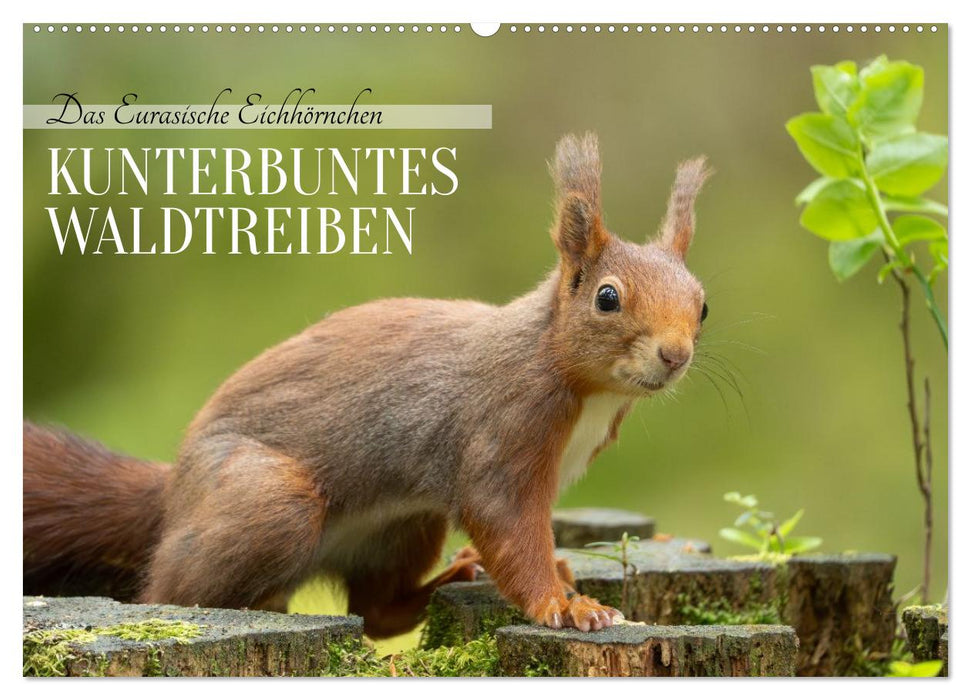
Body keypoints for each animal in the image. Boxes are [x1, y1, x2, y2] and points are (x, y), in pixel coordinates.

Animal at [24, 133, 711, 638]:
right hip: (266, 500)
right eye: (607, 298)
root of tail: (174, 494)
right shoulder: (504, 426)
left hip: (403, 524)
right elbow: (506, 521)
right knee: (166, 593)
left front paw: (562, 575)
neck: (576, 379)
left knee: (377, 613)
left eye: (702, 306)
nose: (675, 355)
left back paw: (448, 581)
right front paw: (564, 604)